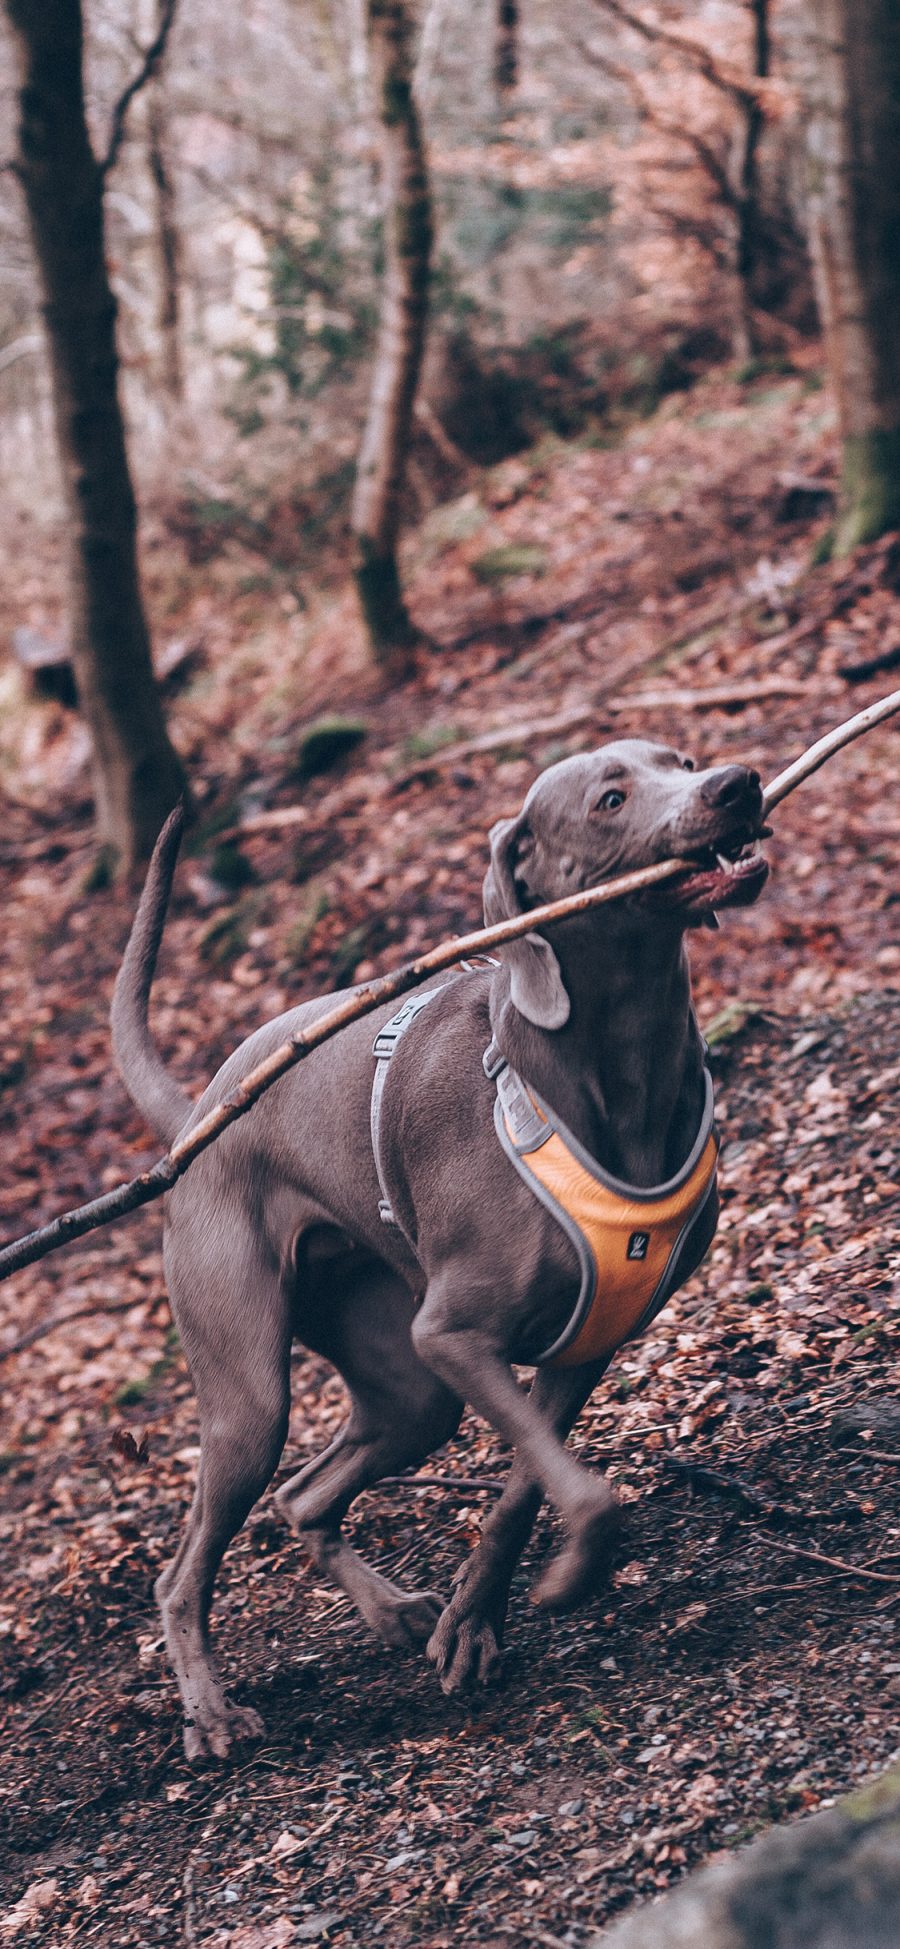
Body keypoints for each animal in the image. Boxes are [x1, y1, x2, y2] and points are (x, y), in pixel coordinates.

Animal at [112, 736, 767, 1761]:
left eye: (683, 758)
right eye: (611, 799)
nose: (737, 784)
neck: (612, 1071)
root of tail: (198, 1117)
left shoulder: (582, 1340)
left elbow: (525, 1487)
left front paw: (473, 1623)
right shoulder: (454, 1334)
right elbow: (586, 1493)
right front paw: (569, 1576)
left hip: (406, 1385)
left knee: (306, 1496)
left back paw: (394, 1613)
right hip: (255, 1392)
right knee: (184, 1569)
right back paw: (211, 1712)